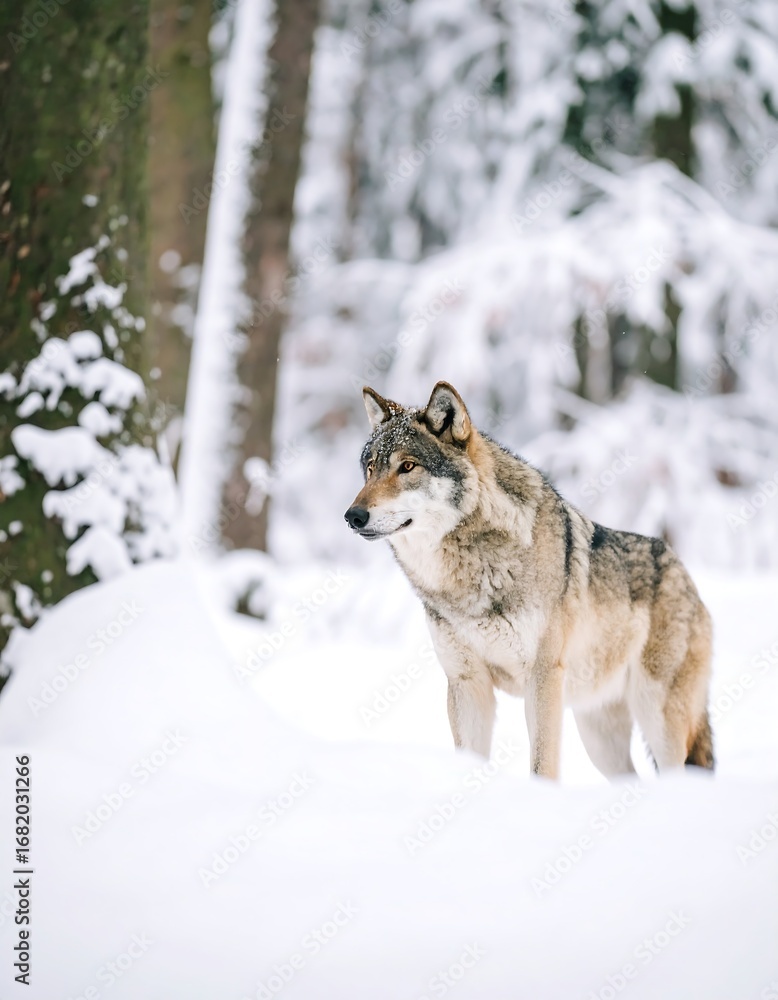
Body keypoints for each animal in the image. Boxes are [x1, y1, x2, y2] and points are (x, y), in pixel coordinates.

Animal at [345, 381, 714, 780]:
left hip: (658, 723)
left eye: (407, 466)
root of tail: (683, 572)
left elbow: (542, 765)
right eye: (370, 469)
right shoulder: (466, 682)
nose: (353, 516)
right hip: (599, 738)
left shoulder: (542, 678)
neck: (468, 576)